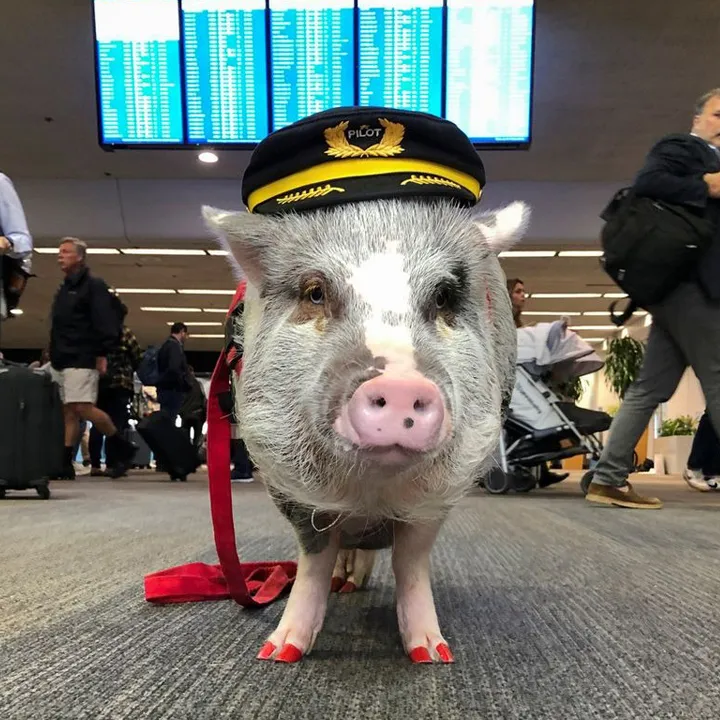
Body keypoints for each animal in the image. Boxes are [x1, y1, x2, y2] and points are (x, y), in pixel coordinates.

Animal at [203, 196, 529, 664]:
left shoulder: (439, 494)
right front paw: (279, 652)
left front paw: (431, 654)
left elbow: (411, 561)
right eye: (315, 292)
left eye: (443, 296)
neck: (371, 490)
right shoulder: (291, 489)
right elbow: (313, 561)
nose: (398, 385)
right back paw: (343, 586)